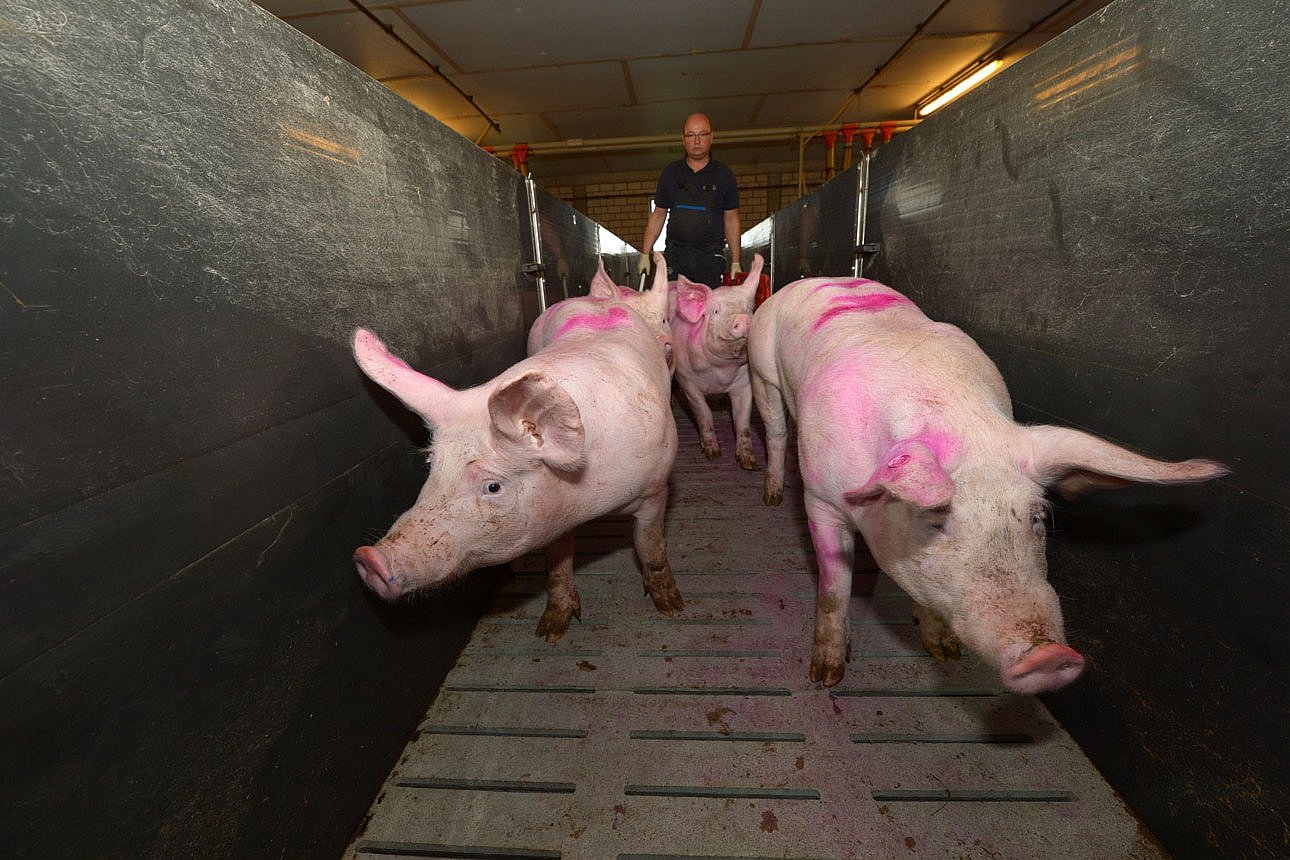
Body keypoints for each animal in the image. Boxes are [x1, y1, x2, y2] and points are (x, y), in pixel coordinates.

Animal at [348, 248, 681, 639]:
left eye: (493, 486)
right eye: (432, 466)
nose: (370, 559)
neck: (588, 495)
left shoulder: (656, 487)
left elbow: (649, 546)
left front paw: (671, 608)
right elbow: (557, 561)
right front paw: (551, 631)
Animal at [665, 254, 763, 471]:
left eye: (749, 309)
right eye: (716, 311)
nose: (743, 319)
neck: (722, 372)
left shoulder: (745, 382)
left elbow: (743, 420)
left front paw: (749, 463)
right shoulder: (687, 381)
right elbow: (704, 414)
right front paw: (712, 455)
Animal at [748, 279, 1228, 696]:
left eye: (1037, 516)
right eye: (936, 522)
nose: (1050, 656)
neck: (954, 418)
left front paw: (945, 653)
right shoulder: (821, 500)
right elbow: (834, 588)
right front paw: (826, 677)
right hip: (763, 375)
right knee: (775, 430)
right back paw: (771, 496)